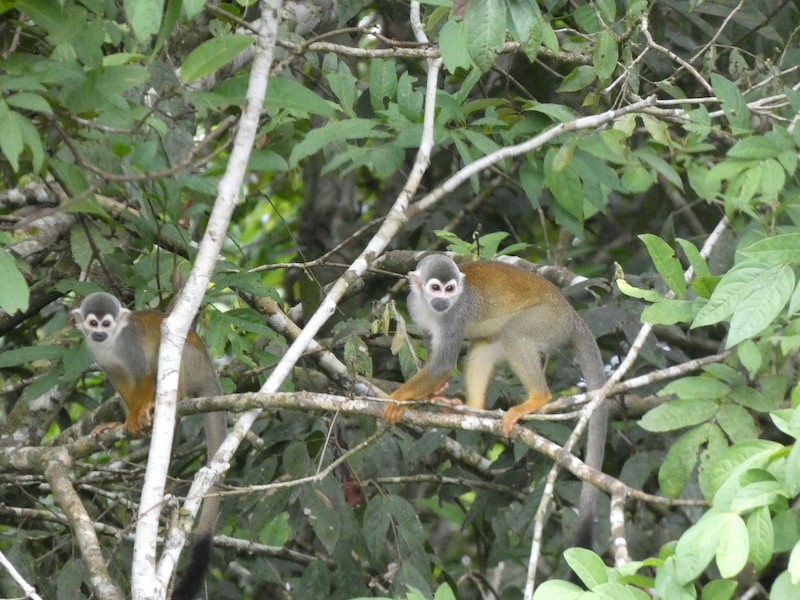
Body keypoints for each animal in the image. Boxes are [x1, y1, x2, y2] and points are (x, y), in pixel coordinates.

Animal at [74, 292, 227, 600]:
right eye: (93, 323)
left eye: (107, 324)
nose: (99, 333)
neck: (111, 343)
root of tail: (211, 374)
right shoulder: (97, 354)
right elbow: (121, 382)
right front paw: (121, 423)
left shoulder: (129, 344)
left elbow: (142, 374)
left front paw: (136, 415)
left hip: (195, 366)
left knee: (166, 355)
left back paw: (169, 399)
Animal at [384, 254, 608, 548]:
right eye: (435, 288)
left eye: (450, 290)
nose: (443, 300)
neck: (434, 309)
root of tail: (572, 316)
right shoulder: (415, 305)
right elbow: (434, 353)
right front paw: (433, 393)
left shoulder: (456, 315)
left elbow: (443, 364)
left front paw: (397, 398)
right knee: (484, 347)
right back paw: (474, 410)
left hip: (548, 322)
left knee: (514, 333)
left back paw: (537, 398)